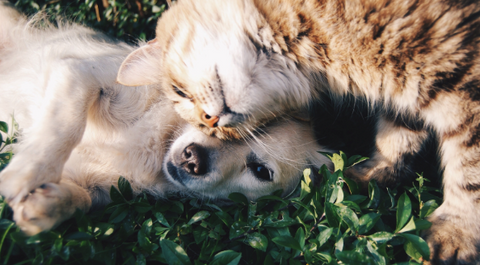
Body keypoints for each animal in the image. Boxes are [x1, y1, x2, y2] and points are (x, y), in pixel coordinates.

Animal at [118, 0, 480, 262]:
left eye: (179, 92)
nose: (210, 122)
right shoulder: (406, 94)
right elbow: (399, 134)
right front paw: (371, 174)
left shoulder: (463, 81)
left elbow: (469, 171)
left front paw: (455, 232)